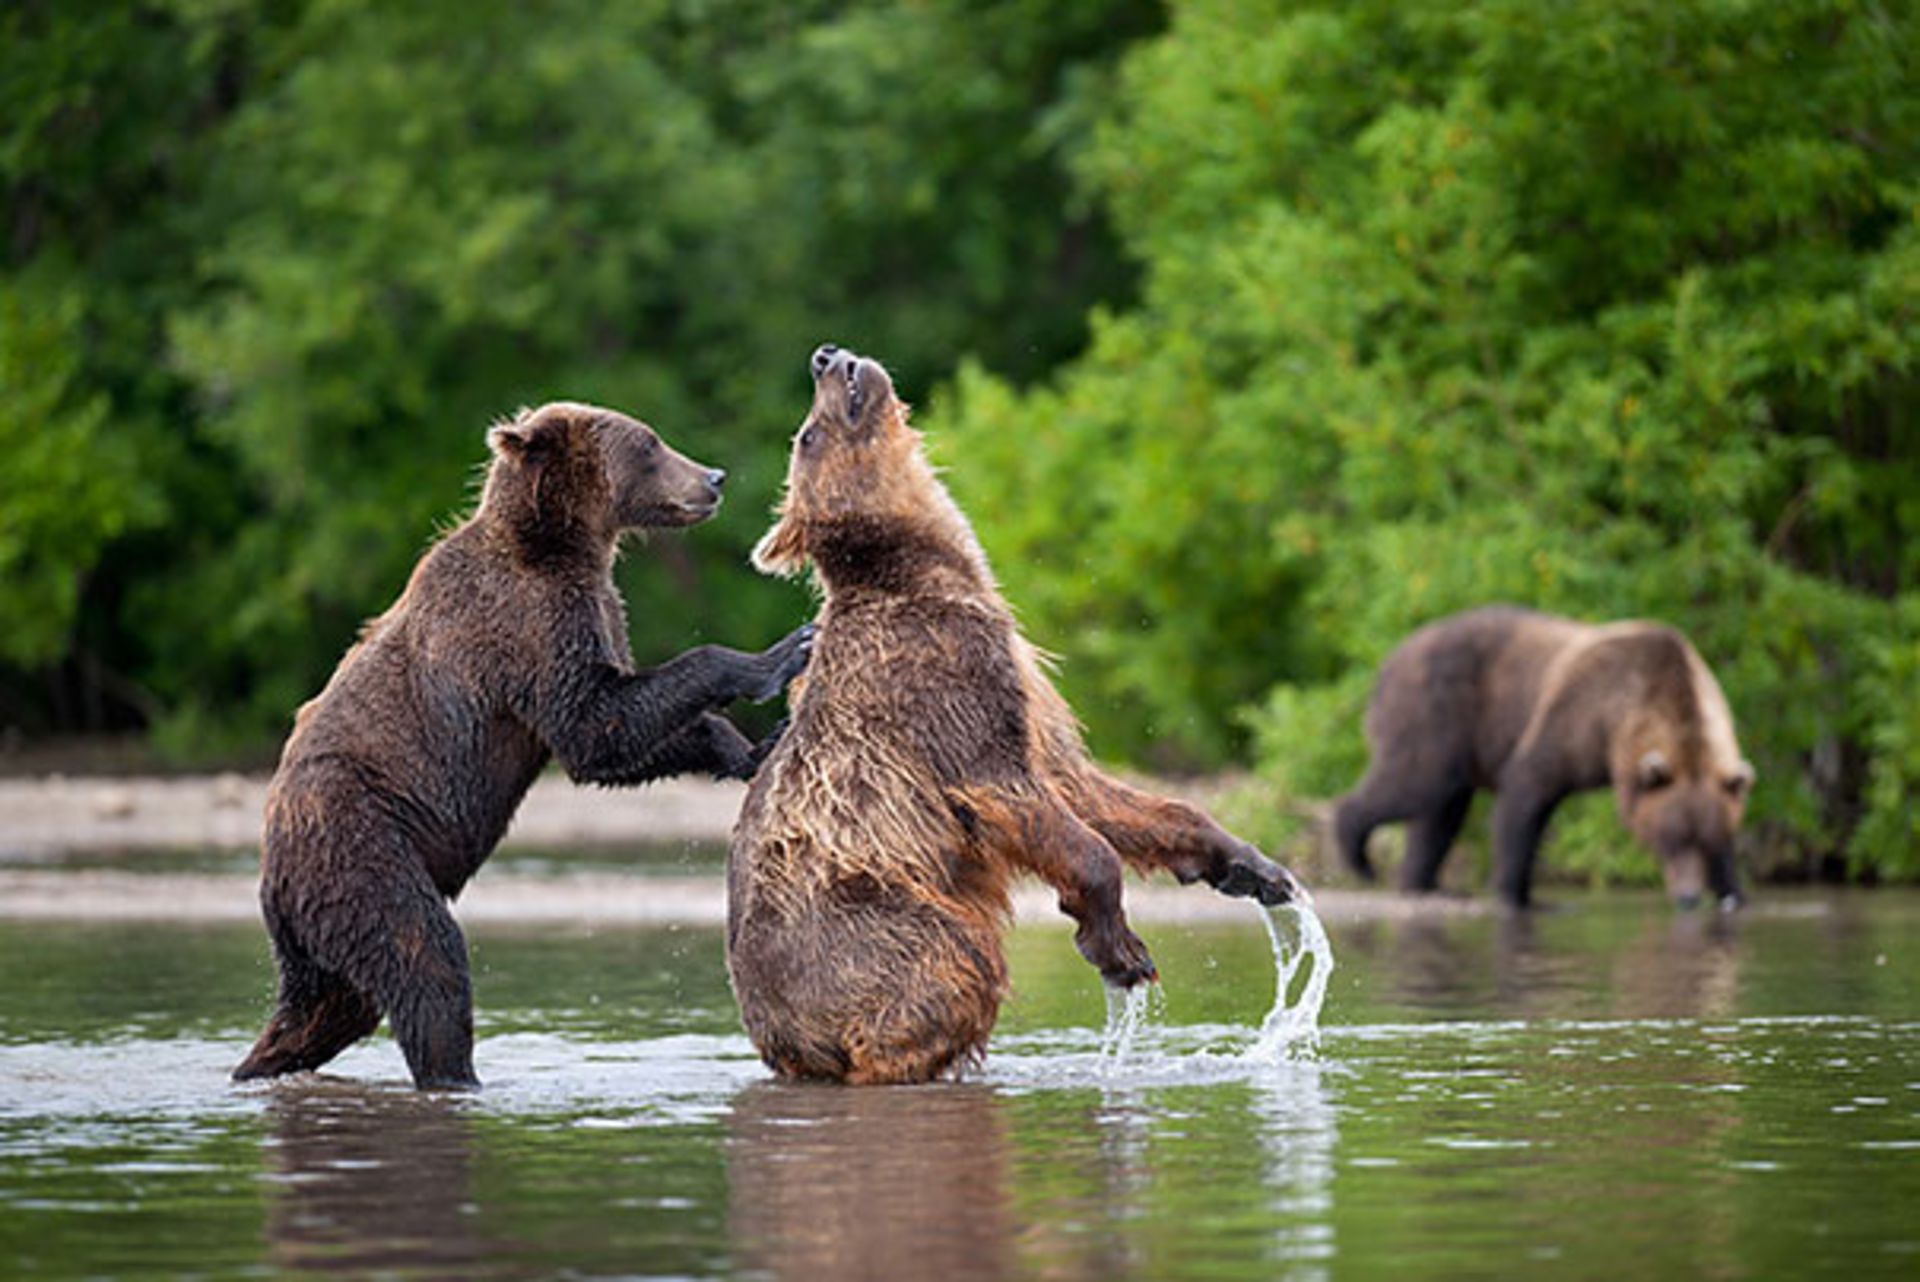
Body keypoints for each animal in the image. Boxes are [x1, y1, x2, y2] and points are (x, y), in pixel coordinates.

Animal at [232, 403, 810, 1090]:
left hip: (323, 920)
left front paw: (751, 748)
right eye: (649, 444)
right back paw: (458, 1077)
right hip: (361, 841)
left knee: (329, 1004)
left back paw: (260, 1065)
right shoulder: (525, 627)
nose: (714, 479)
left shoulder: (593, 613)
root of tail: (271, 867)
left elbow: (616, 740)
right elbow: (598, 724)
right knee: (423, 955)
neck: (562, 546)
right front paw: (781, 654)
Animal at [721, 345, 1305, 1090]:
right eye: (807, 436)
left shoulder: (1028, 693)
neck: (939, 571)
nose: (827, 356)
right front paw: (1121, 950)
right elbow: (1028, 804)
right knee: (955, 959)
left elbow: (1089, 787)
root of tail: (784, 1038)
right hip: (870, 922)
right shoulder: (946, 687)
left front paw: (1251, 866)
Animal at [1336, 606, 1758, 905]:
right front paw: (1516, 894)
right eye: (1669, 838)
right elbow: (1526, 792)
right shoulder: (1578, 717)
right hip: (1435, 708)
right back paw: (1358, 854)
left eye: (1704, 841)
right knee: (1419, 782)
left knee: (1442, 809)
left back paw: (1426, 884)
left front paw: (1734, 891)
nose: (1688, 897)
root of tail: (1389, 660)